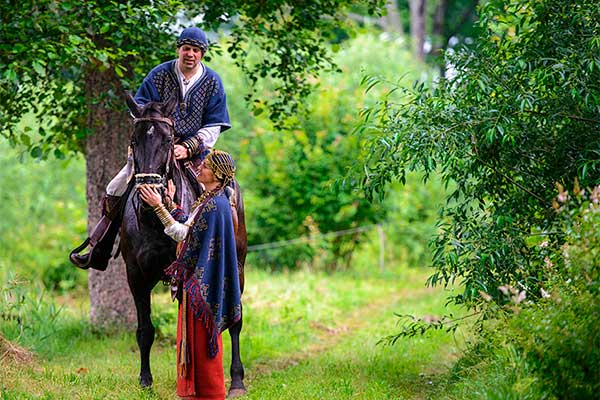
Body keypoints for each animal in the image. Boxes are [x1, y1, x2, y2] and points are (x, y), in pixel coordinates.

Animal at [119, 92, 246, 396]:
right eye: (134, 140)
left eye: (168, 141)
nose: (149, 193)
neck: (153, 222)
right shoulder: (136, 276)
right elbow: (145, 330)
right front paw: (145, 381)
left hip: (238, 267)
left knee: (235, 322)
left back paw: (236, 380)